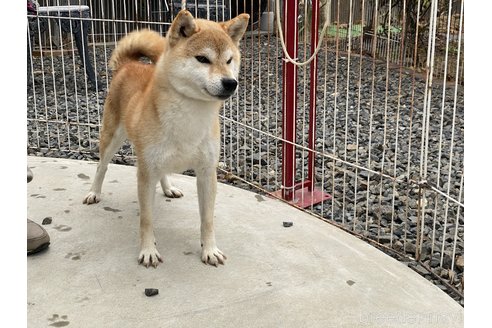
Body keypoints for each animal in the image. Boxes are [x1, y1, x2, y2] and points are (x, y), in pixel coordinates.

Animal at [83, 10, 250, 268]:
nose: (231, 83)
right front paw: (148, 250)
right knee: (102, 166)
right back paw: (94, 192)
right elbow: (146, 219)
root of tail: (128, 64)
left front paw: (210, 250)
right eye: (203, 59)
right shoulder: (145, 172)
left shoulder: (206, 171)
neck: (191, 116)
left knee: (162, 172)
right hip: (112, 138)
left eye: (229, 60)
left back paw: (169, 188)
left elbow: (207, 219)